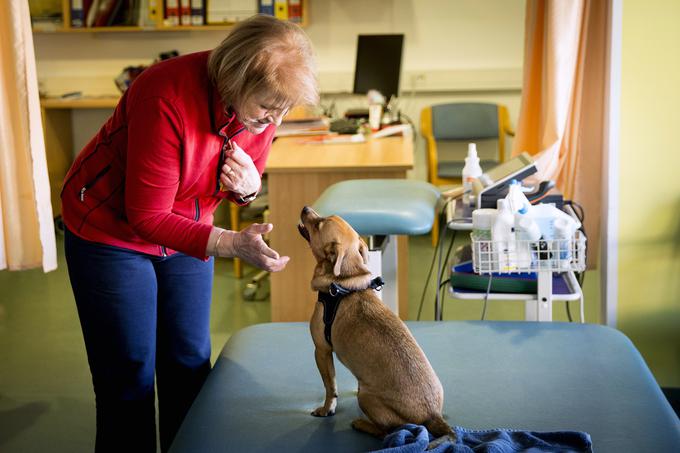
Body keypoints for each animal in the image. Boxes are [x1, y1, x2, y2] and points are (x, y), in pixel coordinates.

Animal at [298, 207, 454, 440]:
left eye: (319, 224)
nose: (306, 208)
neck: (344, 284)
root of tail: (433, 416)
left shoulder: (322, 350)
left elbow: (330, 387)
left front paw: (326, 409)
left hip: (367, 398)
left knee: (389, 431)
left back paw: (363, 424)